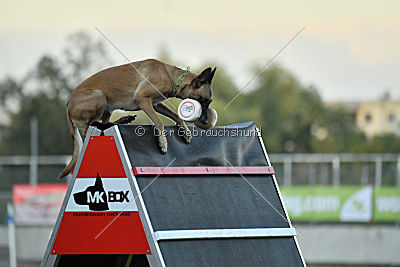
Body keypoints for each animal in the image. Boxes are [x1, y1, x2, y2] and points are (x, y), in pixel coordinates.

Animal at [58, 59, 216, 180]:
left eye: (209, 102)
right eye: (202, 100)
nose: (206, 122)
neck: (170, 76)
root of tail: (68, 103)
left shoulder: (155, 104)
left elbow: (175, 115)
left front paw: (185, 131)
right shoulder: (142, 100)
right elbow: (159, 122)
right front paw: (163, 142)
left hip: (108, 107)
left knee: (105, 123)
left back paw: (123, 120)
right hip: (100, 96)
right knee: (90, 128)